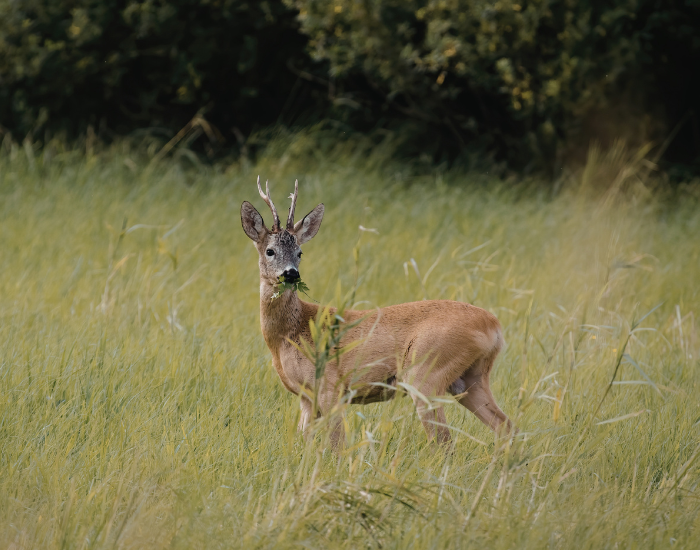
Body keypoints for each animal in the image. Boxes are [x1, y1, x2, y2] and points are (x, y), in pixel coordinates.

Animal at [241, 177, 513, 449]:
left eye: (300, 252)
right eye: (270, 251)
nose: (291, 273)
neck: (290, 334)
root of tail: (494, 326)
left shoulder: (331, 387)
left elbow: (337, 445)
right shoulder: (307, 397)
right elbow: (303, 443)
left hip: (427, 372)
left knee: (444, 441)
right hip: (469, 378)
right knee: (505, 426)